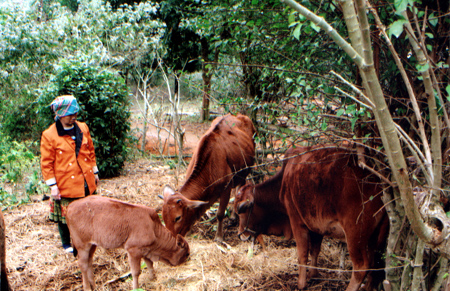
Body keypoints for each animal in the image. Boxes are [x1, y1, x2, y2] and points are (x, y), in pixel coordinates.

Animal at [162, 113, 255, 242]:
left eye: (178, 217)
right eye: (163, 216)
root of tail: (238, 115)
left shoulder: (225, 189)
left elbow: (220, 214)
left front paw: (219, 237)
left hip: (245, 170)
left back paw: (233, 216)